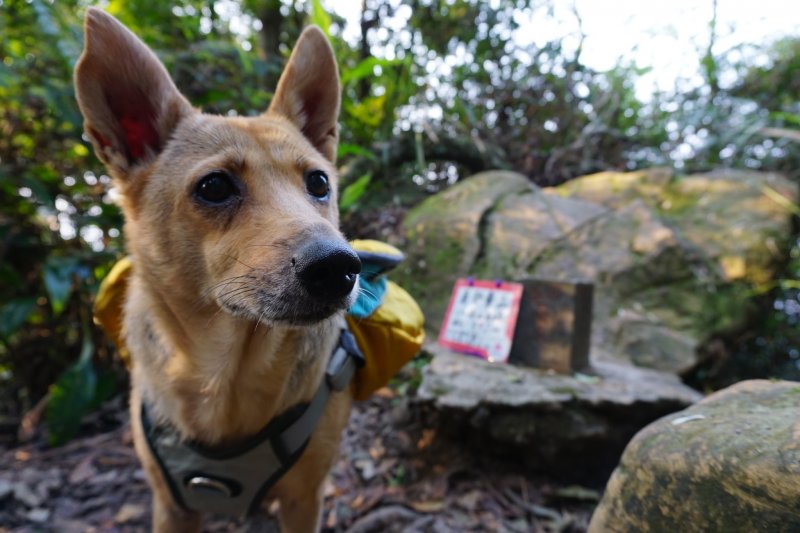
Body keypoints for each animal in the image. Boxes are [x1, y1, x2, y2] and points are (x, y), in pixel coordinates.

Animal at [75, 8, 362, 532]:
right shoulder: (170, 505)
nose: (339, 267)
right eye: (214, 187)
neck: (226, 377)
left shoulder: (305, 499)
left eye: (319, 183)